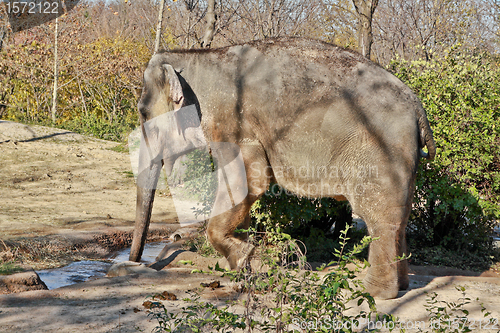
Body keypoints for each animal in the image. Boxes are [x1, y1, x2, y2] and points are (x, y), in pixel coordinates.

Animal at [129, 37, 434, 298]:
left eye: (143, 113)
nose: (137, 263)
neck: (193, 57)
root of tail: (418, 107)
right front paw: (243, 268)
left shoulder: (232, 122)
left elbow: (250, 181)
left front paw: (244, 254)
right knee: (400, 218)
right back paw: (402, 286)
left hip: (380, 152)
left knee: (379, 216)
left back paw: (374, 292)